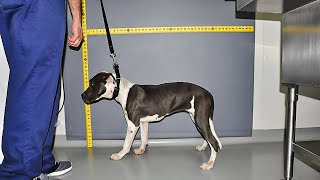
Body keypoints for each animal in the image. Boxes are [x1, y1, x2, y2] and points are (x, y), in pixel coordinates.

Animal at [81, 72, 221, 170]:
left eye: (92, 84)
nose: (82, 95)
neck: (120, 90)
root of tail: (208, 94)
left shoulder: (133, 124)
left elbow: (126, 143)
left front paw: (119, 155)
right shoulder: (143, 122)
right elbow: (144, 138)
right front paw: (141, 150)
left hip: (200, 119)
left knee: (213, 141)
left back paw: (209, 164)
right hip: (198, 119)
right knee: (207, 136)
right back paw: (203, 147)